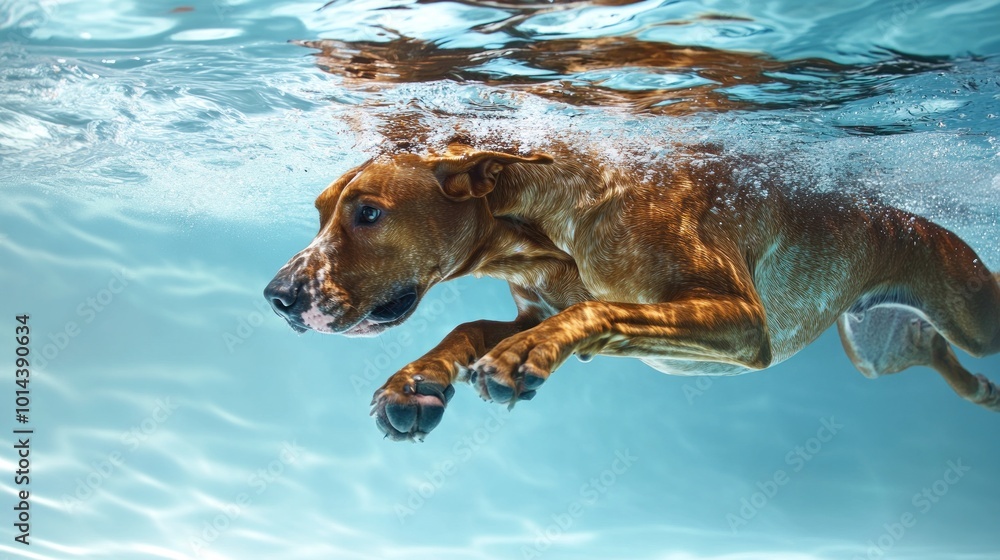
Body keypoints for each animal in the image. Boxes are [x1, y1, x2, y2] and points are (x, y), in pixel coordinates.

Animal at [264, 142, 1000, 440]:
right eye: (320, 210)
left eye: (368, 213)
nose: (276, 296)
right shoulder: (535, 306)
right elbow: (467, 328)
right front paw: (416, 382)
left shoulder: (741, 319)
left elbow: (603, 308)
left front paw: (523, 359)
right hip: (877, 348)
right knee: (933, 352)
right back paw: (981, 393)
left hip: (973, 313)